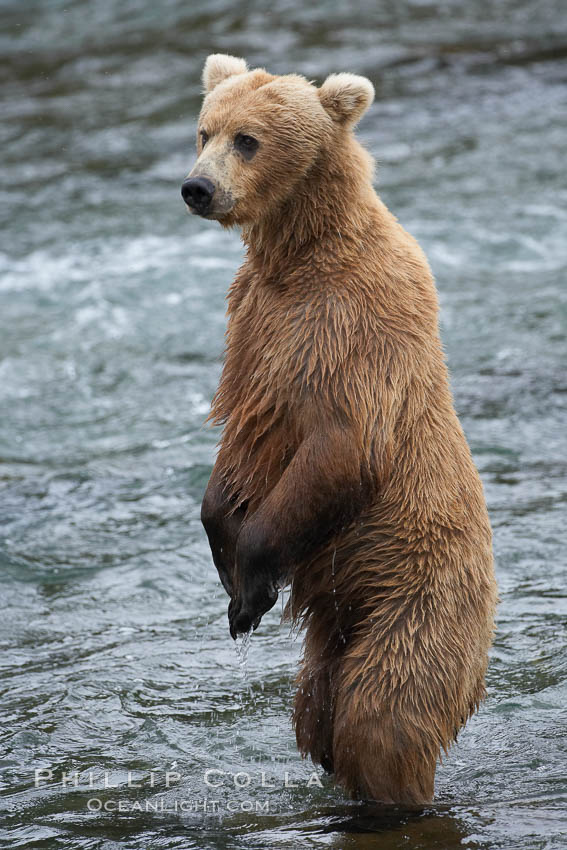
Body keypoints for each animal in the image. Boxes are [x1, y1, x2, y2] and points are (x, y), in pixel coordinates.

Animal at [184, 53, 500, 800]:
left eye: (247, 140)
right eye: (204, 130)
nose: (197, 188)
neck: (301, 252)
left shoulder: (351, 331)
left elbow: (342, 448)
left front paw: (250, 588)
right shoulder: (256, 330)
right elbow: (238, 449)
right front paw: (226, 557)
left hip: (418, 596)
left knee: (383, 715)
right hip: (334, 625)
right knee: (317, 715)